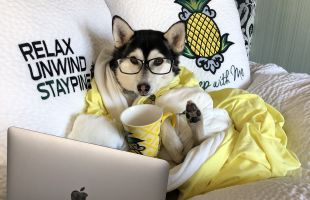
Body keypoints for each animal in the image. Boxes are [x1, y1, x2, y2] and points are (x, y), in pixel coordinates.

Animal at [109, 15, 203, 162]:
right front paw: (174, 145)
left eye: (158, 61)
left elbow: (162, 116)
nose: (143, 88)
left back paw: (195, 118)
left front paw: (173, 144)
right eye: (134, 60)